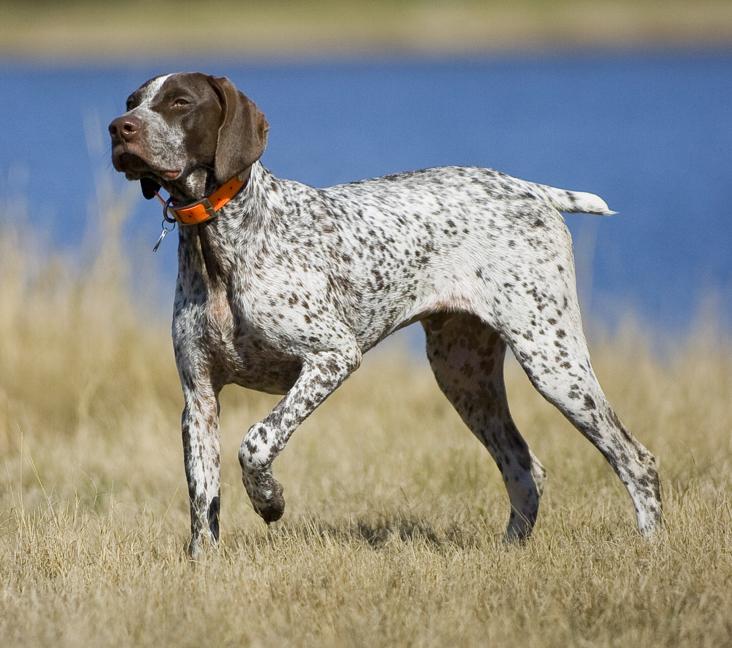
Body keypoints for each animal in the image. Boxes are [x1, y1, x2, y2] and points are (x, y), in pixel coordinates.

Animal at [108, 72, 664, 556]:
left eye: (180, 102)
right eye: (133, 101)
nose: (119, 128)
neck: (218, 240)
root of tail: (531, 189)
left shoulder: (333, 356)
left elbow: (257, 441)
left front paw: (269, 501)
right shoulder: (199, 399)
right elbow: (203, 503)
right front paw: (204, 566)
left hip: (553, 361)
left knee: (636, 459)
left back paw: (651, 547)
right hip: (464, 377)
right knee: (525, 468)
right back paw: (511, 551)